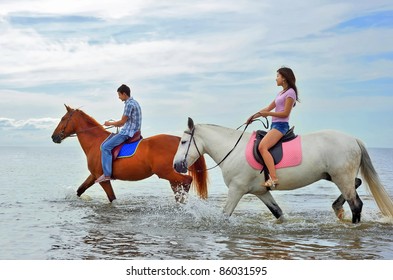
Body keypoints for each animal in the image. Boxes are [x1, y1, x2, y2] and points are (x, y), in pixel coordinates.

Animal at [50, 104, 207, 202]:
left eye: (63, 119)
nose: (53, 137)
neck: (95, 142)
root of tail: (177, 139)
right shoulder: (94, 175)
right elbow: (80, 190)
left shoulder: (103, 179)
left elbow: (112, 198)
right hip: (170, 175)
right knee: (179, 188)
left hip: (166, 172)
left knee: (187, 181)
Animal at [173, 117, 392, 223]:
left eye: (183, 142)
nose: (176, 165)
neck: (233, 149)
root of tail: (353, 139)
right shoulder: (261, 192)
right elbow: (278, 213)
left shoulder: (236, 189)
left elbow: (225, 214)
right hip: (335, 176)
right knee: (356, 185)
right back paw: (337, 208)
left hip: (341, 177)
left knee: (356, 204)